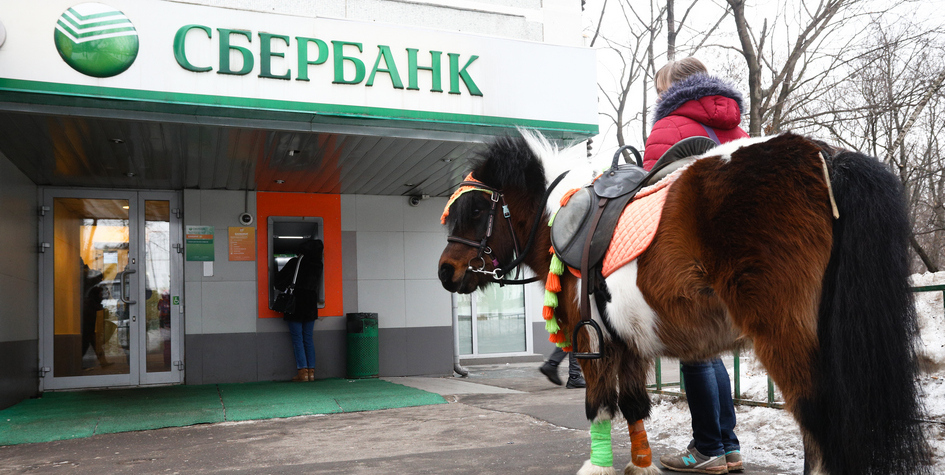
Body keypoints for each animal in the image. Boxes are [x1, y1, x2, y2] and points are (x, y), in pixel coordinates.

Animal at [438, 132, 924, 475]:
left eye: (476, 211)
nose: (445, 271)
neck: (560, 216)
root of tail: (824, 155)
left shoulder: (593, 345)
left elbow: (599, 407)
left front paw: (598, 464)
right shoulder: (628, 345)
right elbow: (635, 407)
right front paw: (640, 464)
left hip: (782, 334)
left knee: (818, 421)